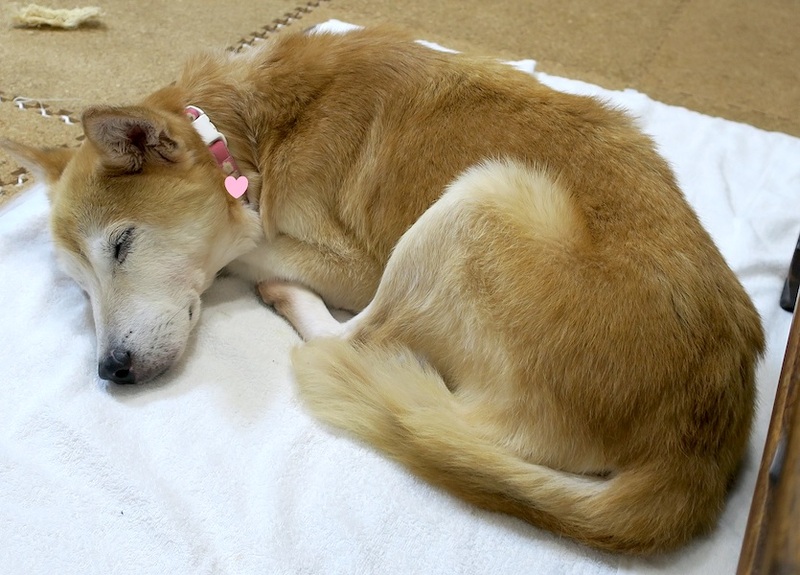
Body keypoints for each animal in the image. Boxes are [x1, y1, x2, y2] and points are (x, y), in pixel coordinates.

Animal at [3, 27, 764, 554]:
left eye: (122, 246)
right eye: (79, 288)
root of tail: (700, 446)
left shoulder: (348, 262)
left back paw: (289, 299)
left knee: (351, 339)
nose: (111, 371)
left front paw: (250, 247)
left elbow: (248, 242)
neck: (253, 132)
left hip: (478, 197)